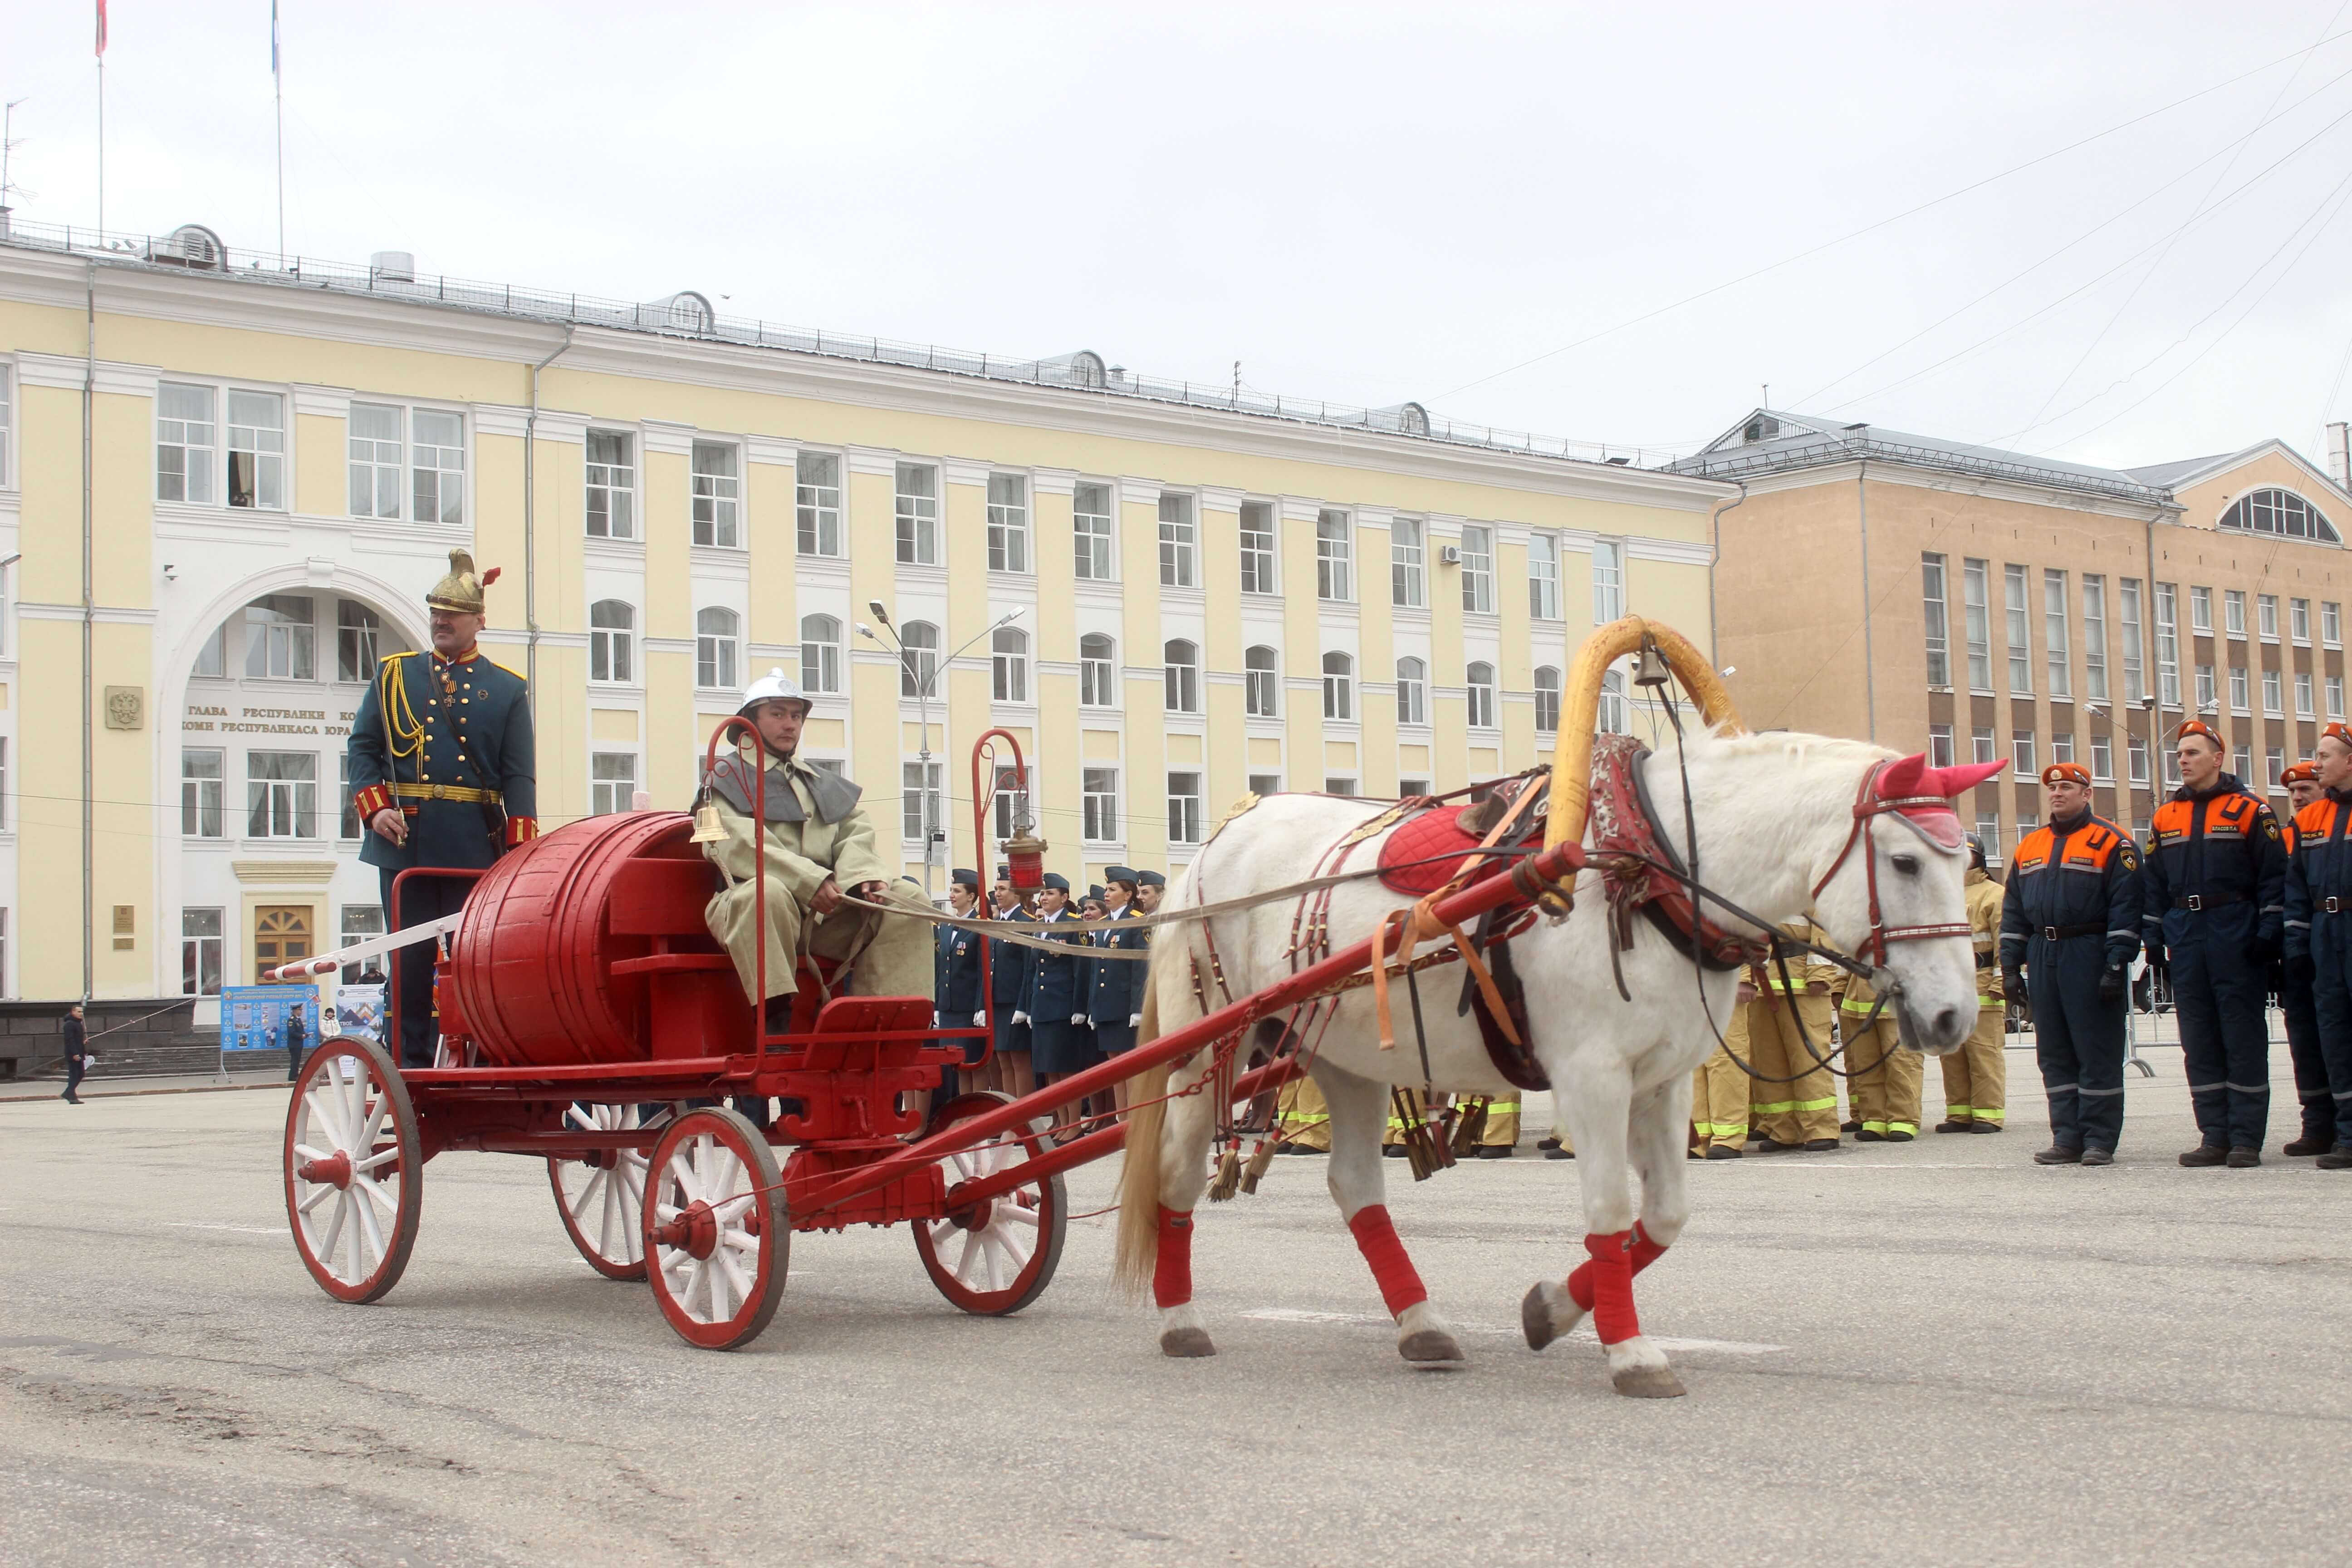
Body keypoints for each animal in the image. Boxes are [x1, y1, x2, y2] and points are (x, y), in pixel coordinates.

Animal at [1119, 729, 2004, 1401]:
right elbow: (1611, 1208)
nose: (1952, 1017)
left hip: (1344, 1054)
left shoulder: (1665, 1078)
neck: (1643, 870)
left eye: (1959, 865)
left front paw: (1552, 1309)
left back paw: (1421, 1324)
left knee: (1355, 1186)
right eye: (1903, 862)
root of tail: (1221, 837)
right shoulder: (1591, 1075)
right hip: (1209, 1043)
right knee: (1177, 1173)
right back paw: (1179, 1320)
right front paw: (1630, 1351)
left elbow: (1664, 1216)